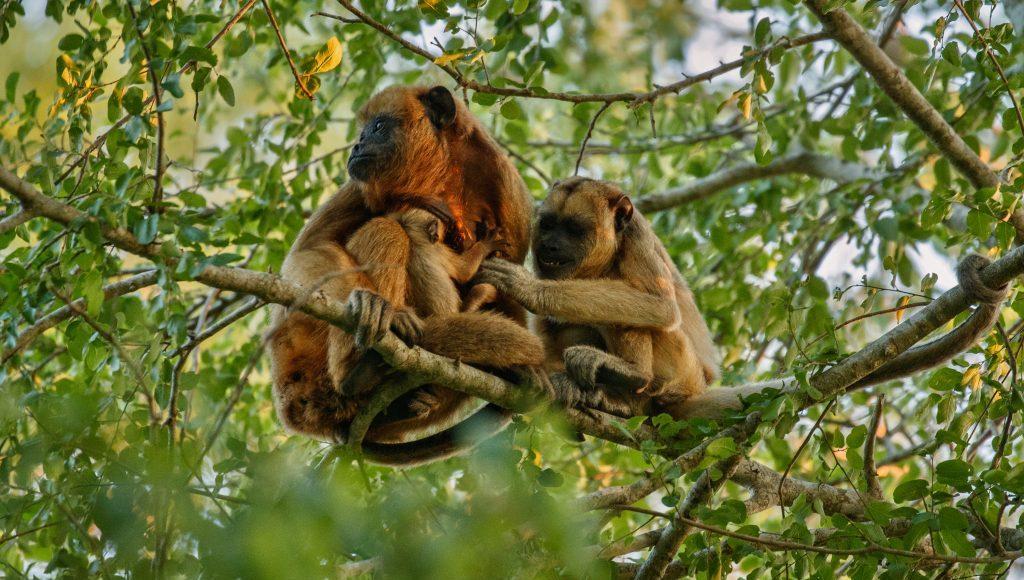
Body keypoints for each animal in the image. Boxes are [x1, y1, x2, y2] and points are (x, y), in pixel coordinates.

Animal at [268, 87, 536, 469]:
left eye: (378, 127)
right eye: (362, 131)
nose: (356, 145)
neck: (443, 174)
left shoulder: (510, 194)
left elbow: (507, 293)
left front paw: (524, 371)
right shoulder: (359, 184)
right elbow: (311, 249)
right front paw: (368, 303)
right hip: (302, 358)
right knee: (386, 229)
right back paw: (360, 365)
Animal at [473, 176, 720, 418]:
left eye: (574, 229)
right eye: (548, 225)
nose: (550, 245)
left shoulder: (636, 236)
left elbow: (662, 305)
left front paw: (529, 289)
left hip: (682, 369)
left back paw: (634, 374)